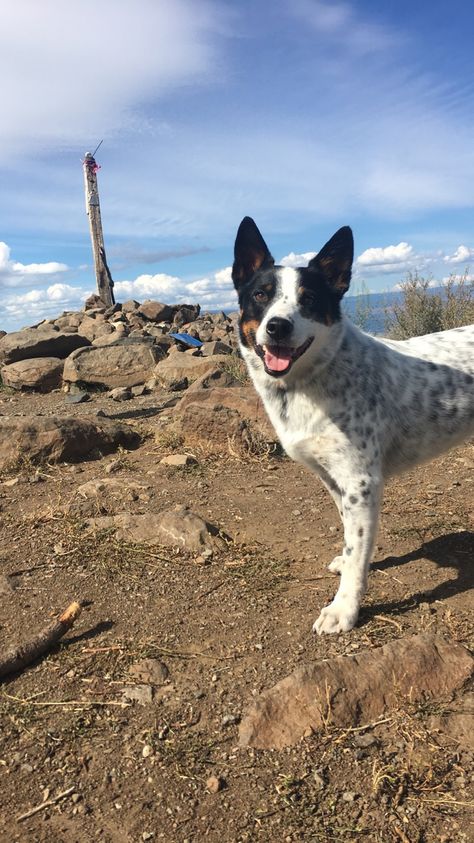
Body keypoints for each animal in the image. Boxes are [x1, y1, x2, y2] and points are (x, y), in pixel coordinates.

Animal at [231, 216, 474, 632]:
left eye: (309, 300)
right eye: (261, 295)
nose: (277, 326)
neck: (313, 380)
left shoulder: (362, 483)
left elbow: (359, 548)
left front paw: (344, 608)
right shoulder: (334, 480)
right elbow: (350, 536)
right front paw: (346, 563)